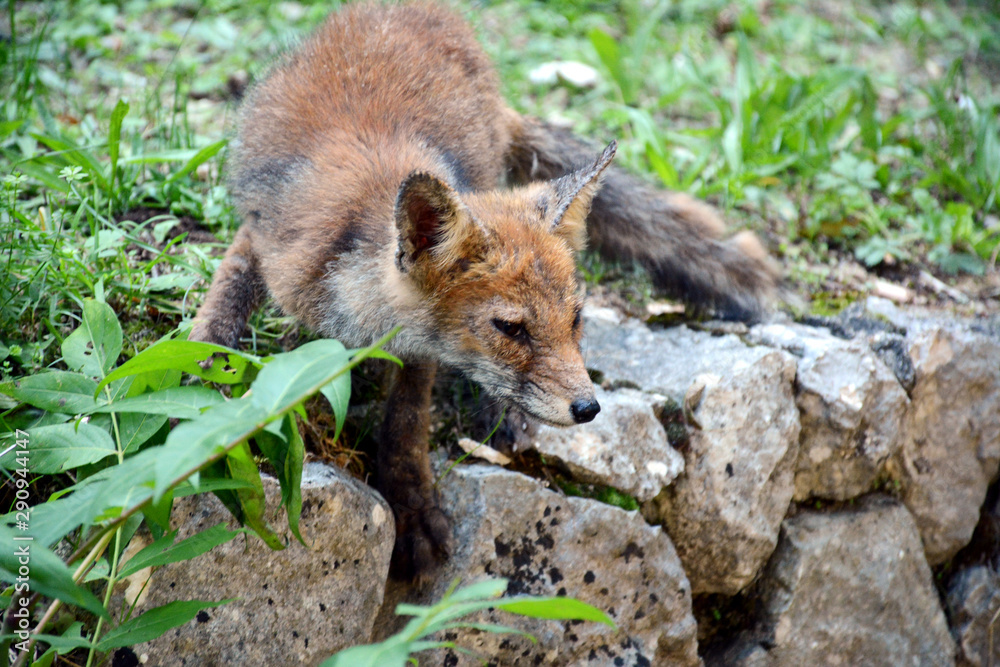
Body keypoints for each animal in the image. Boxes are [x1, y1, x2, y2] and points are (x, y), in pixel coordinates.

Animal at [190, 1, 776, 577]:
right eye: (510, 329)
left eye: (576, 320)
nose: (589, 408)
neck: (353, 308)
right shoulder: (269, 243)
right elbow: (225, 298)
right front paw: (203, 369)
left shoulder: (416, 349)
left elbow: (406, 422)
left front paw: (411, 503)